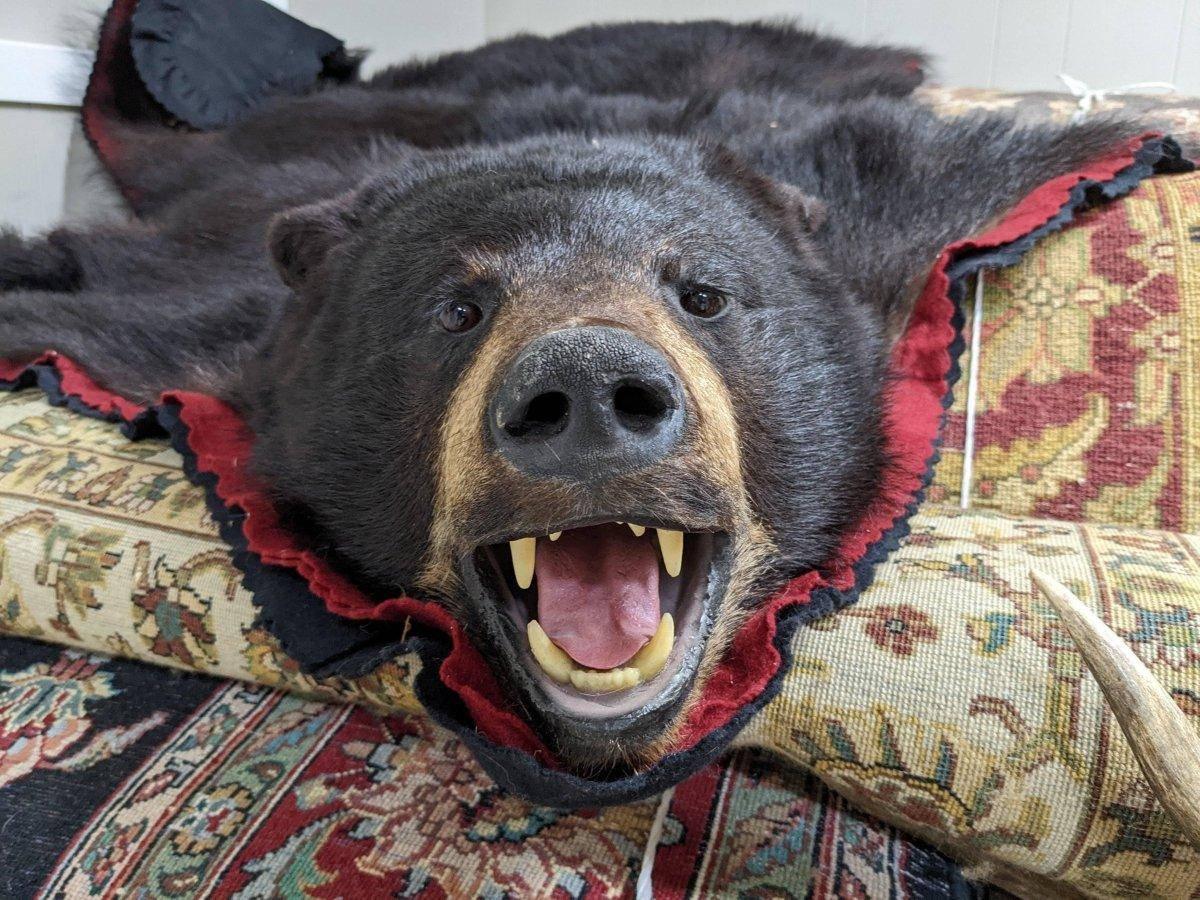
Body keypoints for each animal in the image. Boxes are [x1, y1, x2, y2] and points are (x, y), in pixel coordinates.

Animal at [0, 18, 1139, 770]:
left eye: (704, 293)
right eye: (455, 308)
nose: (588, 389)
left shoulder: (881, 205)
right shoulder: (221, 313)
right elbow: (103, 309)